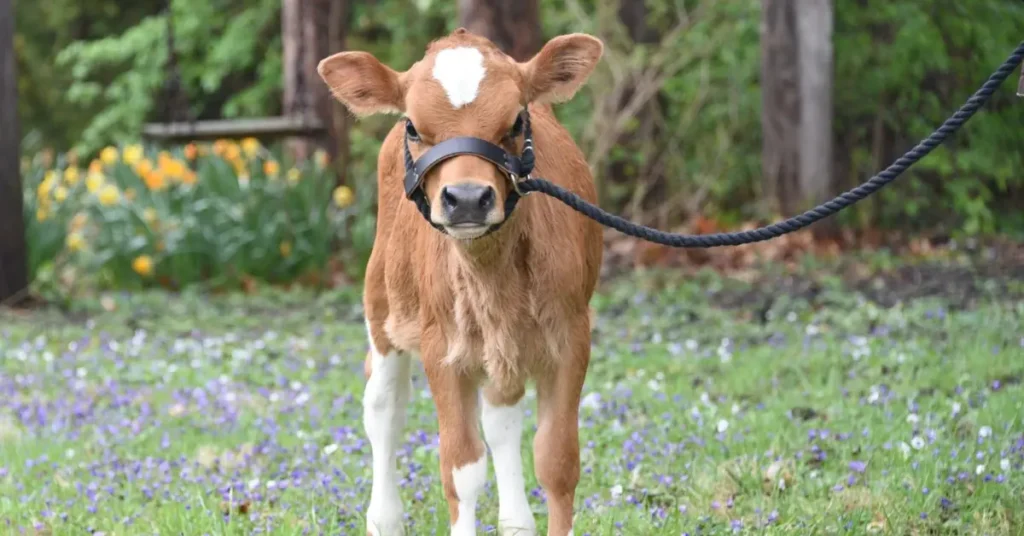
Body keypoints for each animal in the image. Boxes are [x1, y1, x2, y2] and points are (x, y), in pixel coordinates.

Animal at [317, 27, 605, 536]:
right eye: (413, 126)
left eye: (516, 119)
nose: (467, 198)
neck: (492, 274)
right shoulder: (442, 349)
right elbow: (462, 469)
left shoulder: (572, 337)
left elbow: (557, 463)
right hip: (382, 305)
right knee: (383, 407)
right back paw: (384, 518)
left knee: (501, 416)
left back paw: (516, 521)